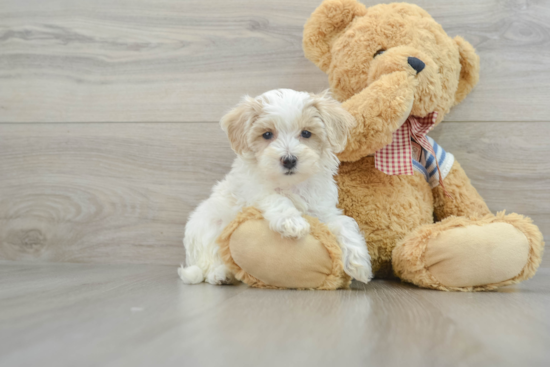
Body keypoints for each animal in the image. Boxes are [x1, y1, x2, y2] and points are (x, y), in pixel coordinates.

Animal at [179, 90, 374, 288]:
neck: (291, 184)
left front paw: (359, 263)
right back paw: (221, 274)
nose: (289, 160)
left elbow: (344, 223)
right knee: (209, 263)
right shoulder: (252, 192)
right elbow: (275, 197)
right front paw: (292, 222)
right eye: (267, 134)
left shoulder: (322, 210)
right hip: (208, 226)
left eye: (306, 133)